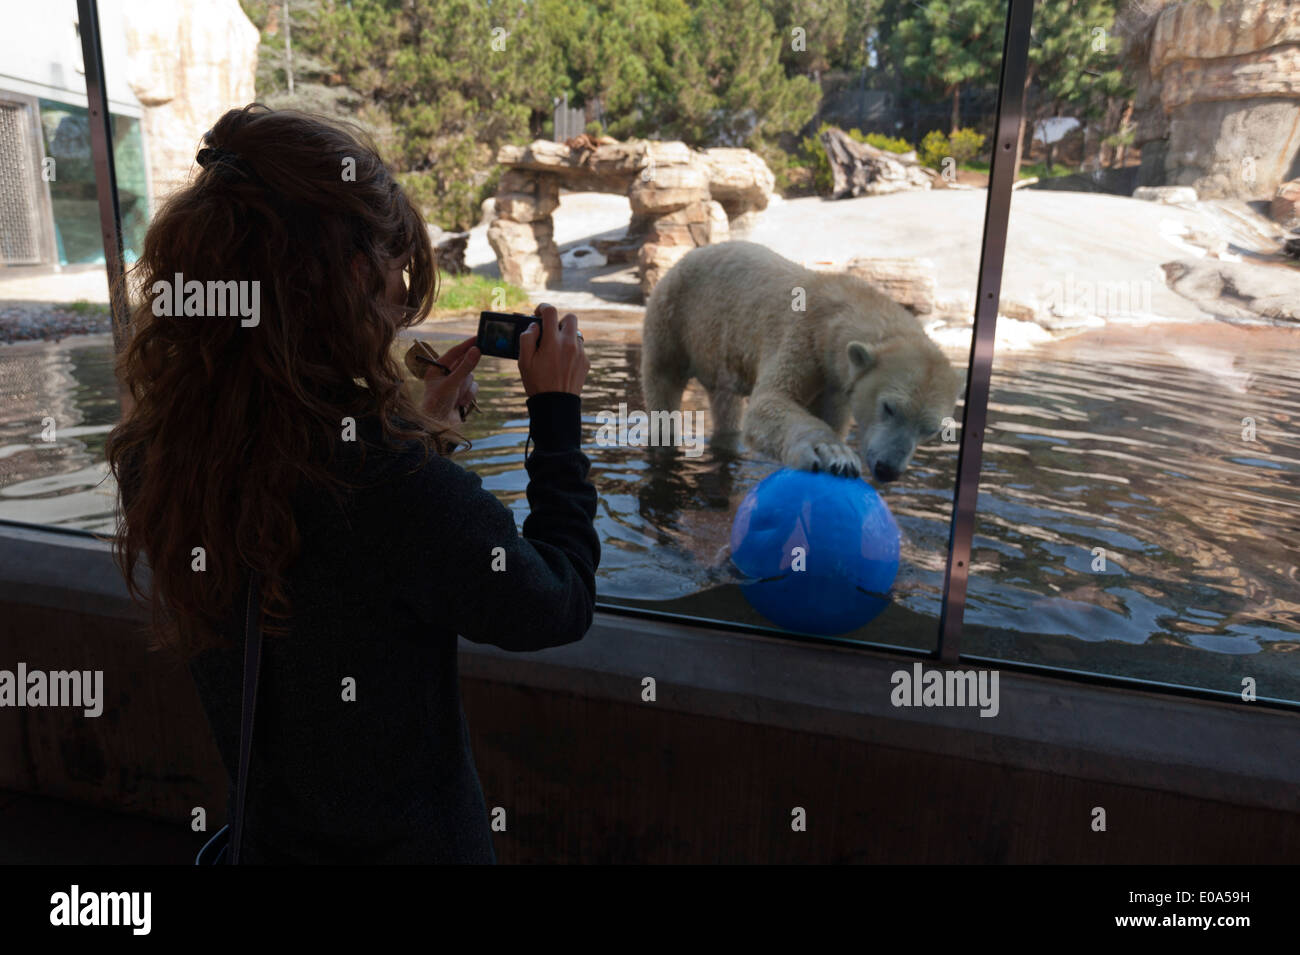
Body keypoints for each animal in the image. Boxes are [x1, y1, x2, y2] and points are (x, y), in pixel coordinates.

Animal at [634, 242, 961, 480]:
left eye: (930, 430)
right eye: (889, 407)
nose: (888, 469)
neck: (839, 312)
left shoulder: (835, 384)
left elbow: (827, 416)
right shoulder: (803, 338)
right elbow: (770, 402)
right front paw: (833, 454)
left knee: (725, 403)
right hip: (674, 315)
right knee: (663, 379)